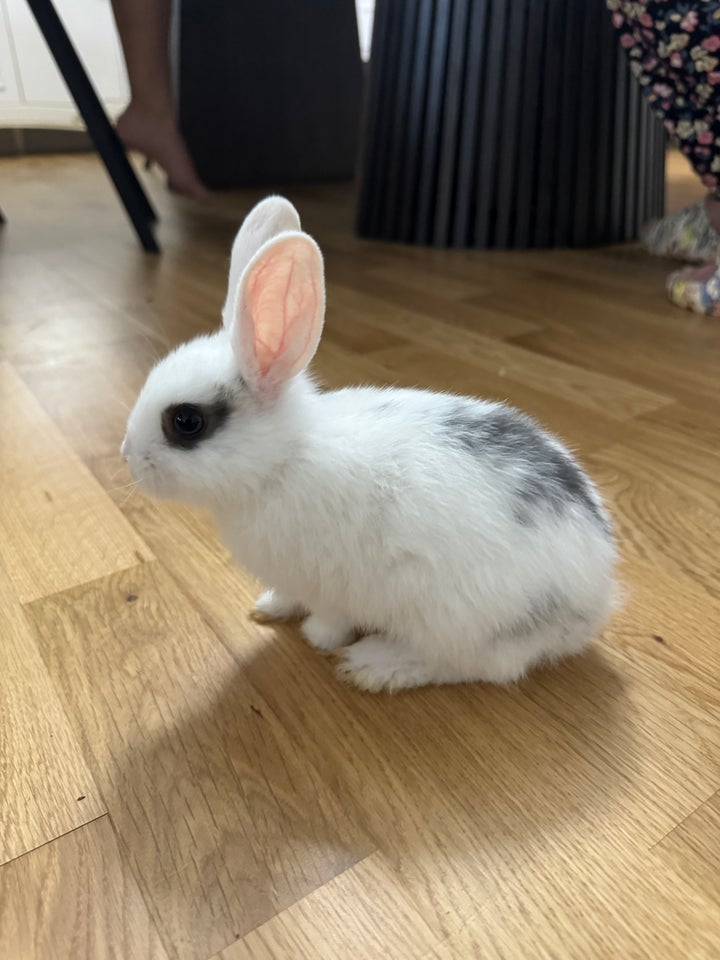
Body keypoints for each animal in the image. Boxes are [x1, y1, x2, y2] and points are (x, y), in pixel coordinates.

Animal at [121, 197, 616, 688]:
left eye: (186, 422)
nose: (127, 456)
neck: (282, 462)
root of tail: (594, 603)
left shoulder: (330, 585)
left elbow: (331, 619)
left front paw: (317, 637)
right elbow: (288, 595)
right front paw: (268, 607)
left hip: (455, 618)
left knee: (472, 665)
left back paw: (374, 664)